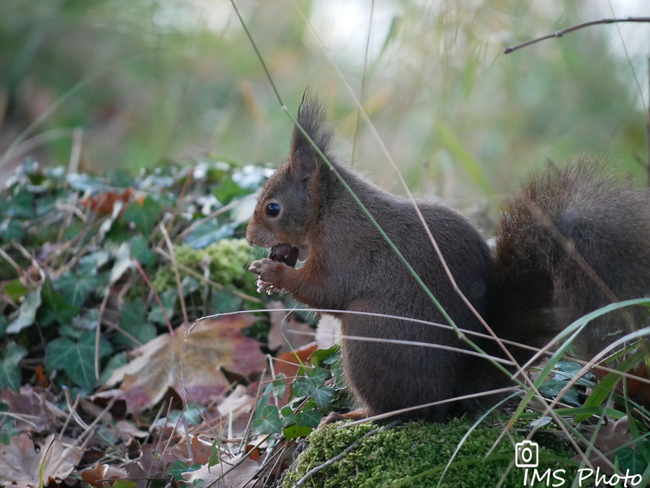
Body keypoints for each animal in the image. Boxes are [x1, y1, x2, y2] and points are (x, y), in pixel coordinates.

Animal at [246, 97, 648, 422]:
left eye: (272, 208)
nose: (249, 238)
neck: (328, 209)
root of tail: (453, 392)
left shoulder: (345, 246)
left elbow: (327, 290)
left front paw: (273, 272)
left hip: (369, 336)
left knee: (401, 412)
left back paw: (355, 416)